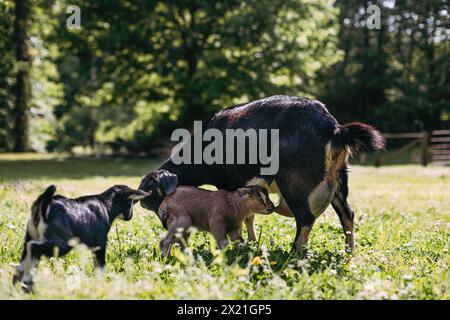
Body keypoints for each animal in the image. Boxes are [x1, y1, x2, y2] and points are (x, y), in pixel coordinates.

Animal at [139, 95, 384, 252]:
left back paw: (294, 252)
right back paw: (349, 253)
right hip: (339, 181)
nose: (165, 221)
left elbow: (242, 213)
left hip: (296, 183)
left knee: (305, 218)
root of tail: (336, 130)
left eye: (154, 195)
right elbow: (250, 215)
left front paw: (241, 242)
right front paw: (251, 241)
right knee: (347, 214)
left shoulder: (228, 183)